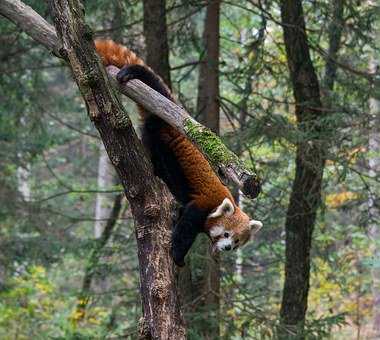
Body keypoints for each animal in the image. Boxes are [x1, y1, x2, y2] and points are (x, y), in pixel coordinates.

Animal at [95, 39, 262, 266]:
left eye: (236, 241)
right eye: (226, 234)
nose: (228, 247)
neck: (217, 205)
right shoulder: (201, 206)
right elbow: (185, 229)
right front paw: (178, 255)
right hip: (159, 132)